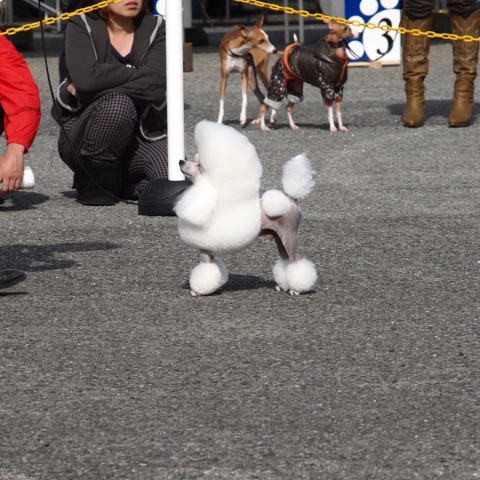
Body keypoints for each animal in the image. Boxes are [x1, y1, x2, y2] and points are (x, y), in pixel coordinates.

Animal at [174, 120, 316, 296]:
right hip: (279, 238)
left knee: (296, 260)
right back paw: (284, 285)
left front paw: (199, 291)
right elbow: (216, 268)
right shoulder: (210, 250)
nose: (181, 161)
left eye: (199, 165)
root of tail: (292, 201)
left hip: (289, 236)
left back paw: (297, 289)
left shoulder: (205, 250)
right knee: (286, 261)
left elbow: (205, 271)